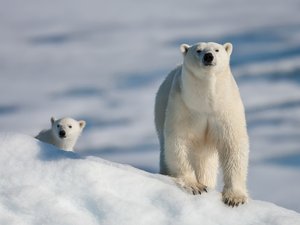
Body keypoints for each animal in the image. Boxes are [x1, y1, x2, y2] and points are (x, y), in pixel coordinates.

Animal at [155, 41, 248, 207]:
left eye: (217, 50)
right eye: (198, 50)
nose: (208, 56)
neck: (206, 103)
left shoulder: (225, 108)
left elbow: (233, 144)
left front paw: (234, 198)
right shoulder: (183, 106)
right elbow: (179, 141)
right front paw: (195, 186)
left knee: (205, 163)